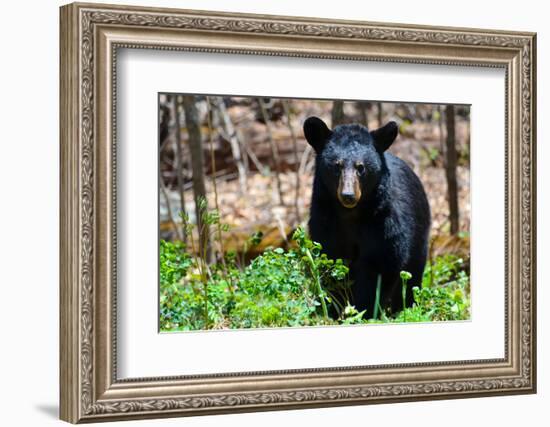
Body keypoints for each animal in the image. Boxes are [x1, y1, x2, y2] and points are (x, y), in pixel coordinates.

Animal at [304, 117, 434, 318]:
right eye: (336, 165)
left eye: (361, 167)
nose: (348, 195)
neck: (351, 214)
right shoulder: (325, 220)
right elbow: (331, 259)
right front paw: (336, 308)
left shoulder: (383, 221)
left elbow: (380, 263)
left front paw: (364, 309)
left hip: (420, 231)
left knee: (413, 272)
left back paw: (404, 307)